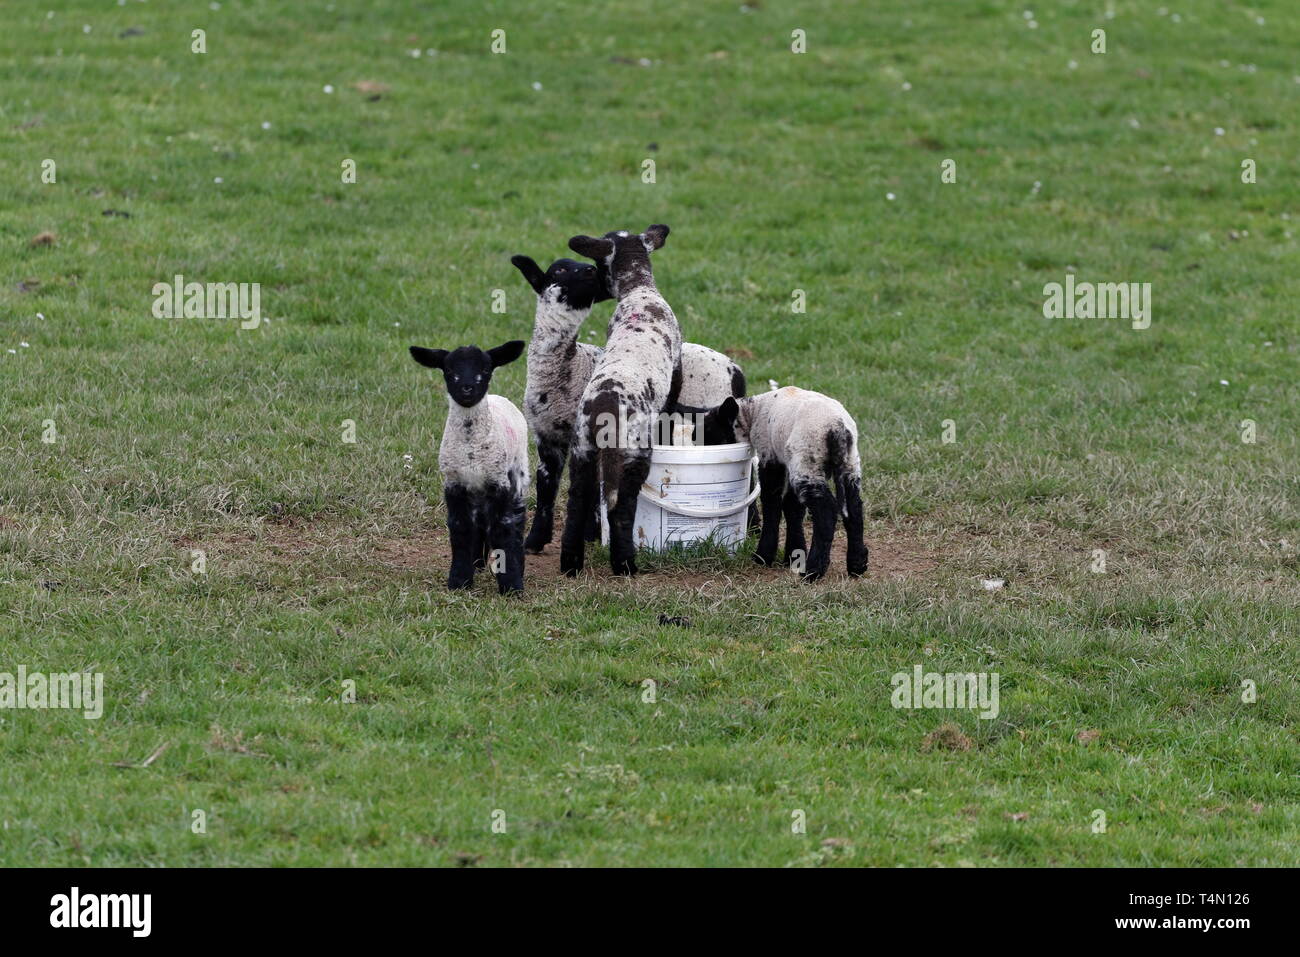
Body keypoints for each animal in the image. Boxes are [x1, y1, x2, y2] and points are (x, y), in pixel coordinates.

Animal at [408, 335, 525, 590]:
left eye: (486, 369)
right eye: (449, 370)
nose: (467, 388)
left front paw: (511, 584)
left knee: (518, 517)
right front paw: (459, 580)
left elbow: (503, 527)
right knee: (480, 521)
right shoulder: (454, 483)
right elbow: (460, 527)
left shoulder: (498, 482)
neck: (471, 446)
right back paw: (477, 562)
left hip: (519, 470)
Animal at [561, 223, 681, 574]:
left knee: (577, 501)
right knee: (623, 507)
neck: (639, 289)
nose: (597, 288)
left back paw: (571, 564)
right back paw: (625, 563)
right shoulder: (677, 365)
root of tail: (606, 408)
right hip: (633, 451)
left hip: (582, 448)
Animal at [696, 384, 868, 579]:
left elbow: (772, 504)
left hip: (808, 460)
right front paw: (793, 556)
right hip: (848, 464)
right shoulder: (788, 460)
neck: (753, 412)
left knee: (826, 512)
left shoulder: (770, 457)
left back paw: (813, 571)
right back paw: (857, 564)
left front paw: (763, 556)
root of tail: (837, 430)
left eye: (710, 434)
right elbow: (792, 507)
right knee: (854, 509)